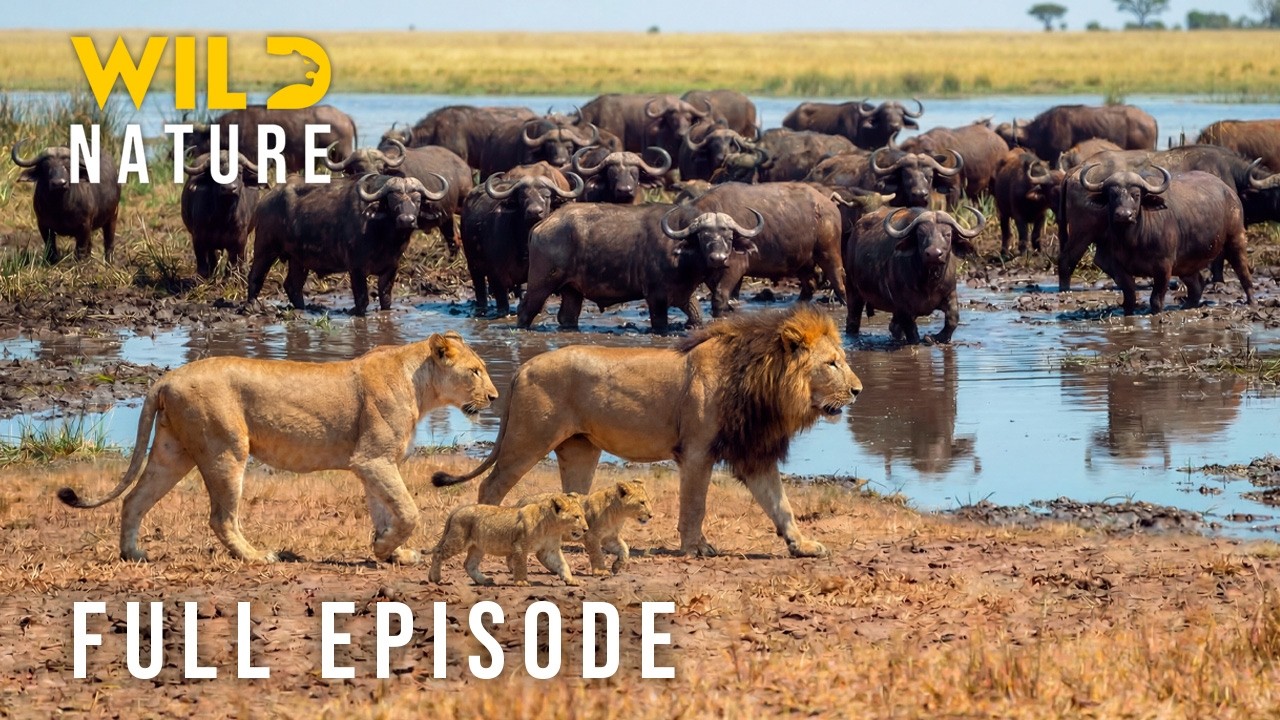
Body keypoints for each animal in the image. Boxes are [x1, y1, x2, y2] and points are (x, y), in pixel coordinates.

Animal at [57, 331, 498, 565]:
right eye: (475, 371)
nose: (494, 397)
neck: (419, 383)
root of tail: (165, 379)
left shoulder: (374, 462)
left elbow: (385, 511)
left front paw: (391, 551)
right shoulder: (372, 458)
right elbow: (408, 511)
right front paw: (387, 549)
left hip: (171, 453)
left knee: (133, 500)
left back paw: (134, 554)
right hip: (226, 450)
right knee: (221, 518)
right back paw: (257, 557)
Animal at [428, 494, 589, 586]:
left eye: (583, 515)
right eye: (576, 517)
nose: (586, 529)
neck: (552, 526)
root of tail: (458, 509)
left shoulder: (550, 550)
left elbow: (562, 564)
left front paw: (571, 580)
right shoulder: (520, 545)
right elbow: (521, 565)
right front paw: (522, 582)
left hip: (478, 547)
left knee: (469, 564)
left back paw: (484, 580)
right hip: (458, 541)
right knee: (437, 552)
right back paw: (434, 578)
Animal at [433, 305, 862, 558]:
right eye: (832, 363)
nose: (858, 391)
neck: (764, 384)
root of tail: (522, 367)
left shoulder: (753, 454)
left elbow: (781, 505)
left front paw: (802, 545)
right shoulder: (697, 451)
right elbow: (695, 505)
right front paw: (696, 547)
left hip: (579, 449)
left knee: (574, 495)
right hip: (529, 440)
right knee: (490, 485)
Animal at [519, 481, 653, 575]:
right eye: (642, 502)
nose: (651, 515)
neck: (618, 515)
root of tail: (521, 501)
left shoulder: (609, 538)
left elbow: (624, 549)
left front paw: (616, 567)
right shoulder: (591, 536)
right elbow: (597, 553)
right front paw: (601, 571)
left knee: (541, 554)